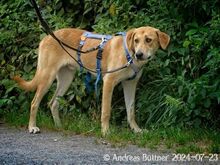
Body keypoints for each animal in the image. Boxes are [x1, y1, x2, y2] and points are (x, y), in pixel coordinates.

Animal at [13, 26, 170, 135]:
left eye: (149, 40)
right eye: (136, 40)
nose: (139, 54)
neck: (129, 54)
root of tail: (47, 37)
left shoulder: (130, 84)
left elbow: (131, 111)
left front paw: (136, 130)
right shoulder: (108, 82)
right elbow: (106, 111)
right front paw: (106, 131)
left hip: (66, 79)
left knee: (53, 103)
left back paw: (59, 126)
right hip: (47, 77)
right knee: (34, 103)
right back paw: (32, 127)